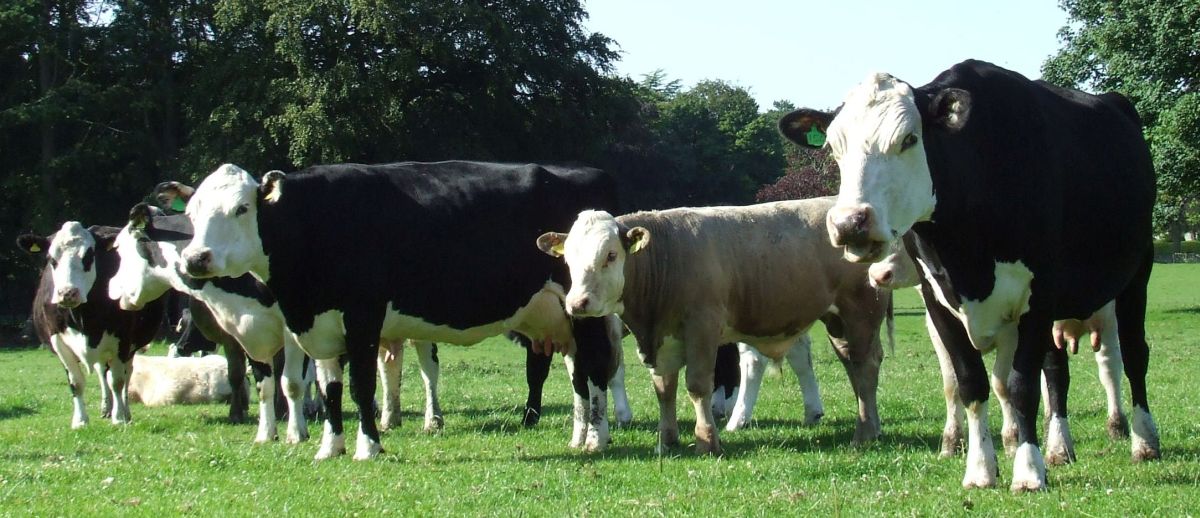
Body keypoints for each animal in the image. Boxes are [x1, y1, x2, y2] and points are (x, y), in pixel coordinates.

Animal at [18, 222, 165, 428]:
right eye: (51, 259)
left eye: (89, 256)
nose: (67, 293)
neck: (82, 318)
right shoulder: (58, 341)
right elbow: (76, 383)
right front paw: (80, 420)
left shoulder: (123, 340)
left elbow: (117, 381)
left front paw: (119, 417)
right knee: (102, 371)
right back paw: (106, 408)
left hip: (131, 347)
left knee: (126, 374)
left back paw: (124, 412)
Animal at [178, 161, 627, 460]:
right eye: (191, 212)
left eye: (241, 208)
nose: (195, 258)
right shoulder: (320, 328)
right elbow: (329, 389)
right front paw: (330, 447)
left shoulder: (363, 316)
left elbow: (361, 386)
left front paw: (368, 447)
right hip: (561, 317)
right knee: (579, 374)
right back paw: (579, 436)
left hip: (586, 310)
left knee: (596, 368)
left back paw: (597, 438)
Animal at [537, 196, 890, 455]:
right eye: (568, 258)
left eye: (610, 255)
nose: (577, 303)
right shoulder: (662, 341)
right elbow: (664, 388)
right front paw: (667, 440)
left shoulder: (702, 328)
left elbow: (696, 386)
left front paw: (707, 440)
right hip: (837, 322)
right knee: (853, 367)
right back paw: (870, 426)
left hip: (860, 313)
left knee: (865, 366)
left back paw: (864, 432)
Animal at [780, 59, 1159, 491]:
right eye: (833, 148)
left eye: (909, 139)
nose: (849, 223)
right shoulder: (937, 299)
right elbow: (971, 383)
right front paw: (980, 469)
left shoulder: (1038, 297)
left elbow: (1020, 385)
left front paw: (1028, 471)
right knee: (1056, 370)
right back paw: (1060, 447)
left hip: (1135, 275)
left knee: (1132, 355)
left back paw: (1143, 441)